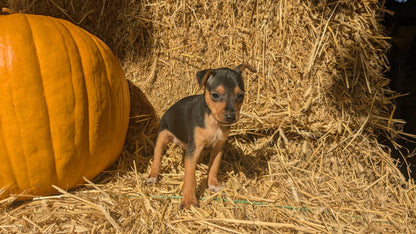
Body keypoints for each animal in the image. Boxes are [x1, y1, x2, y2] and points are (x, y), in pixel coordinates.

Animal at [146, 63, 256, 208]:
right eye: (215, 95)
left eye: (241, 96)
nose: (231, 117)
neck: (213, 121)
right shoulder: (194, 149)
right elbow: (189, 176)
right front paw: (188, 200)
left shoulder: (219, 147)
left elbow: (214, 167)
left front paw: (213, 184)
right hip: (162, 136)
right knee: (157, 157)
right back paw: (153, 176)